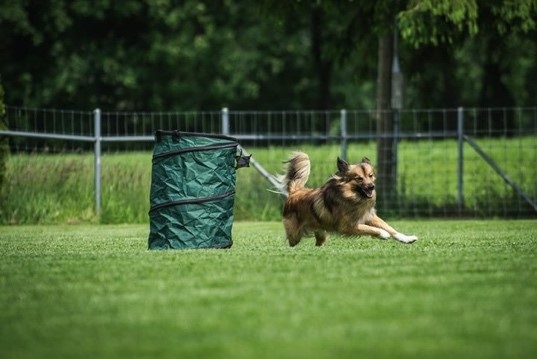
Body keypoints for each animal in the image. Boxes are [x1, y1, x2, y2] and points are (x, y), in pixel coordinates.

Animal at [278, 152, 416, 248]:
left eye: (370, 175)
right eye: (359, 178)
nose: (372, 186)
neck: (352, 197)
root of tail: (295, 192)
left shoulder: (369, 216)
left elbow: (390, 227)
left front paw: (407, 238)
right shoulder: (347, 226)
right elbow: (371, 229)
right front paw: (383, 234)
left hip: (321, 233)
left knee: (318, 243)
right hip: (295, 234)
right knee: (292, 242)